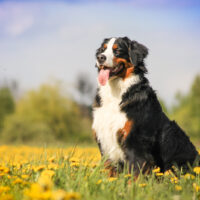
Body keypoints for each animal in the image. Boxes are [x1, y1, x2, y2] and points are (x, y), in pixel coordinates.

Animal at [92, 36, 198, 177]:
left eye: (117, 50)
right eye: (103, 49)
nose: (100, 57)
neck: (116, 92)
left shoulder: (135, 142)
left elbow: (135, 173)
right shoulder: (105, 140)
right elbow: (109, 171)